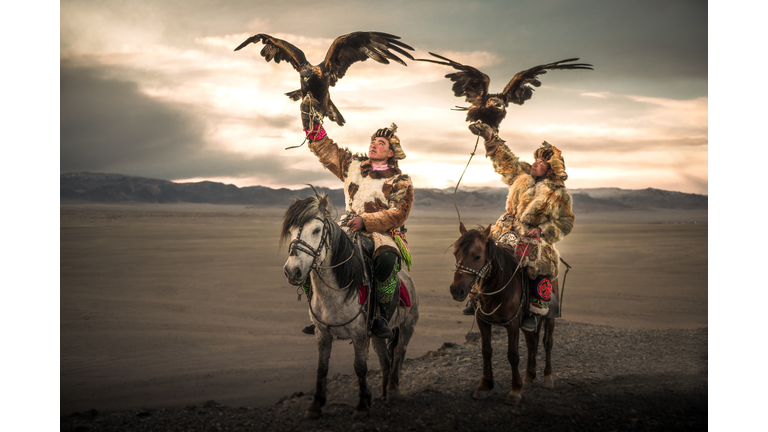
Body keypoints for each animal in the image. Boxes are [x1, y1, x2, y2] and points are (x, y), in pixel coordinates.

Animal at [280, 186, 416, 418]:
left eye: (317, 230)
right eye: (291, 230)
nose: (292, 271)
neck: (335, 294)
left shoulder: (359, 334)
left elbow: (360, 367)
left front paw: (362, 405)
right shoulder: (322, 333)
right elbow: (322, 368)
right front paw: (315, 405)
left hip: (406, 328)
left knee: (398, 356)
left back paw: (392, 391)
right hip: (377, 336)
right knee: (385, 361)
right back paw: (382, 395)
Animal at [450, 223, 560, 404]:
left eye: (477, 256)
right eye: (455, 253)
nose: (456, 291)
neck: (496, 287)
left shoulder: (512, 324)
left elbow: (513, 355)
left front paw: (515, 391)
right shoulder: (482, 321)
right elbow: (486, 351)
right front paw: (484, 386)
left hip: (549, 317)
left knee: (547, 342)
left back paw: (548, 378)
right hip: (526, 321)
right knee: (532, 342)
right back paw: (529, 377)